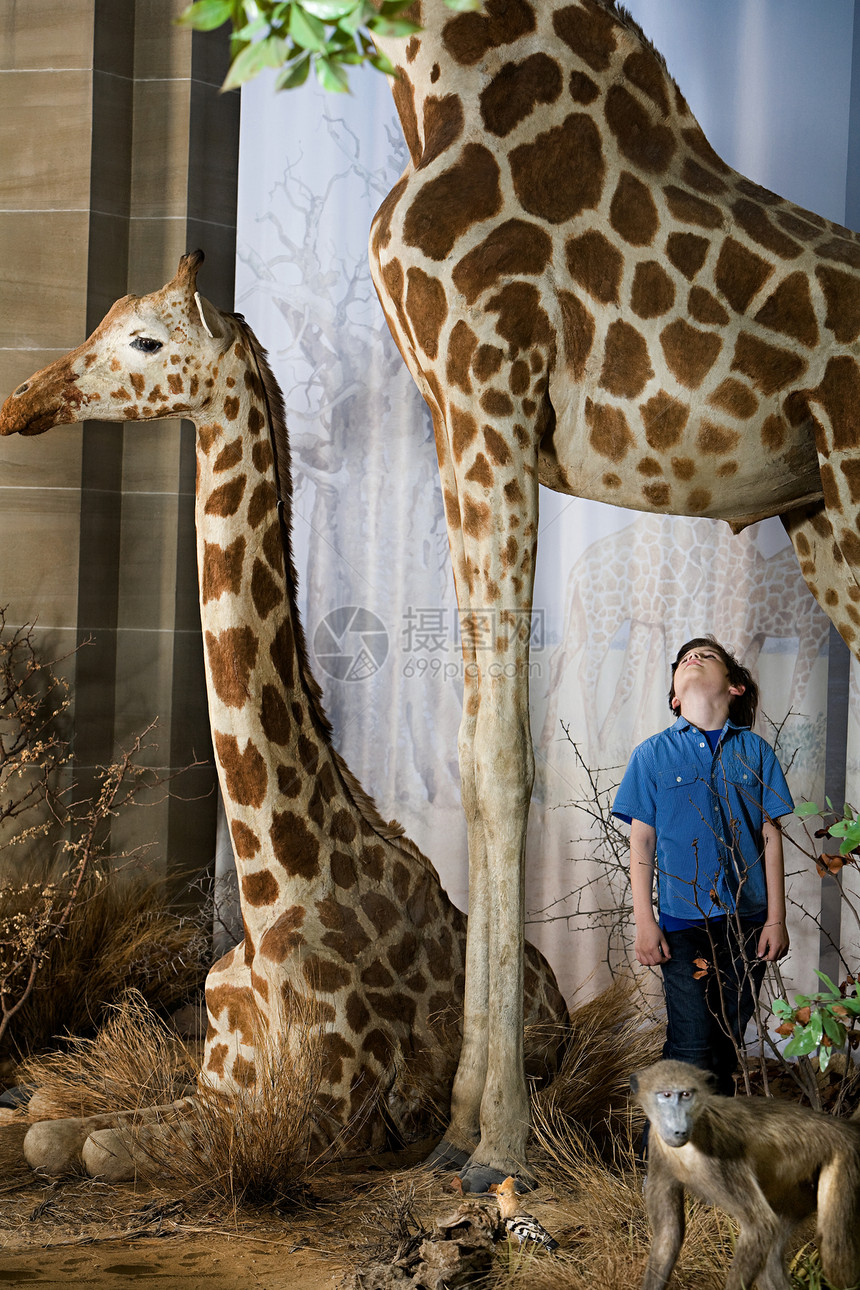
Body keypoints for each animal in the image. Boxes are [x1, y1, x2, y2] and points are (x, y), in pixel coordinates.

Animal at [0, 251, 572, 1181]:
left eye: (145, 339)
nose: (20, 400)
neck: (274, 893)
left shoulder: (320, 1119)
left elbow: (95, 1148)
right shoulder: (217, 1086)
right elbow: (59, 1134)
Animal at [368, 0, 860, 1181]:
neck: (431, 62)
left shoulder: (491, 379)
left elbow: (506, 758)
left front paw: (501, 1142)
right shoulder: (451, 410)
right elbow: (472, 752)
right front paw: (454, 1129)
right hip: (823, 513)